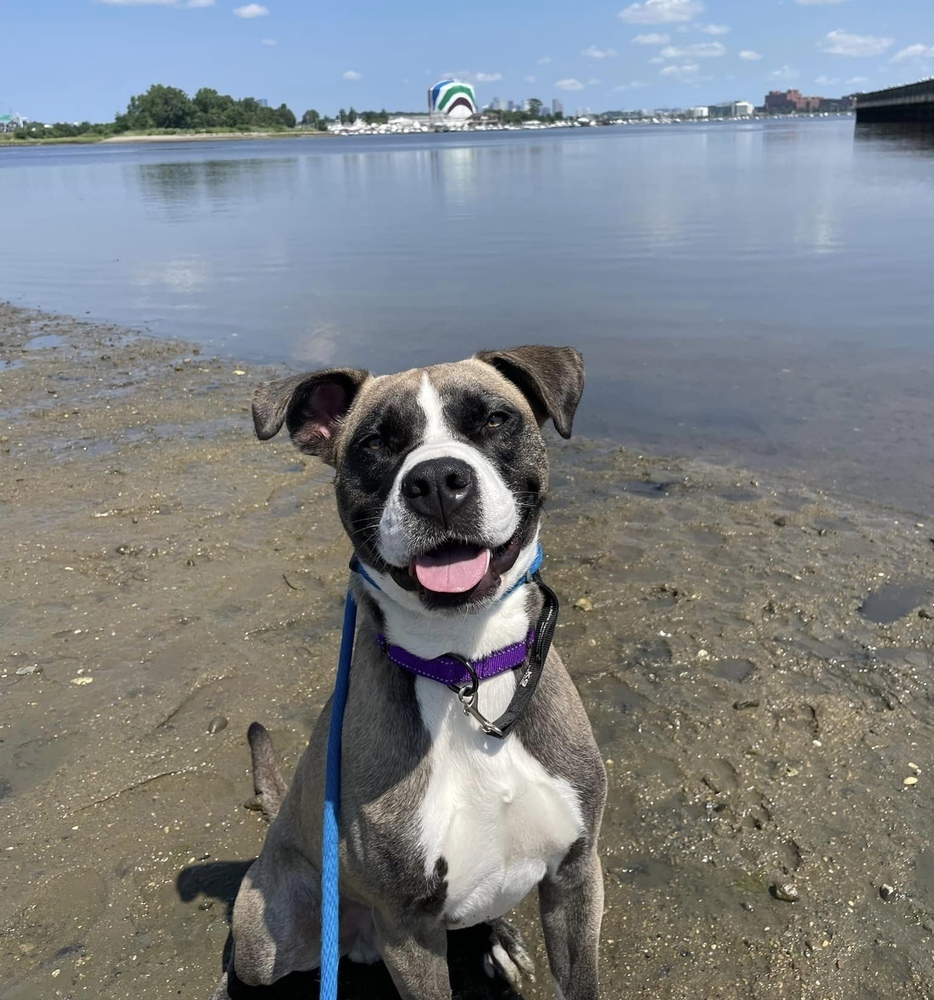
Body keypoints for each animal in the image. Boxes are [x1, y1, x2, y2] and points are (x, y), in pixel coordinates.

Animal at [208, 346, 612, 1000]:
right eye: (376, 443)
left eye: (493, 420)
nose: (437, 481)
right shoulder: (408, 928)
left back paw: (498, 938)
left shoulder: (575, 877)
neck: (465, 668)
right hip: (273, 932)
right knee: (244, 963)